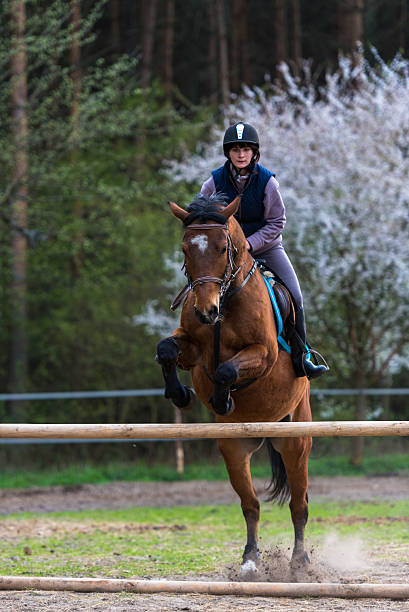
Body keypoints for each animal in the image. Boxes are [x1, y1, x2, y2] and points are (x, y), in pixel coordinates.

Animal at [155, 192, 310, 568]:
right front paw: (180, 394)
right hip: (233, 449)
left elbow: (227, 370)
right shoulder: (192, 348)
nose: (206, 311)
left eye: (222, 248)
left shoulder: (264, 355)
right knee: (250, 505)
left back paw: (300, 561)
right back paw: (250, 559)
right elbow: (167, 349)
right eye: (185, 249)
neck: (226, 301)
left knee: (299, 505)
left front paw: (222, 399)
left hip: (297, 440)